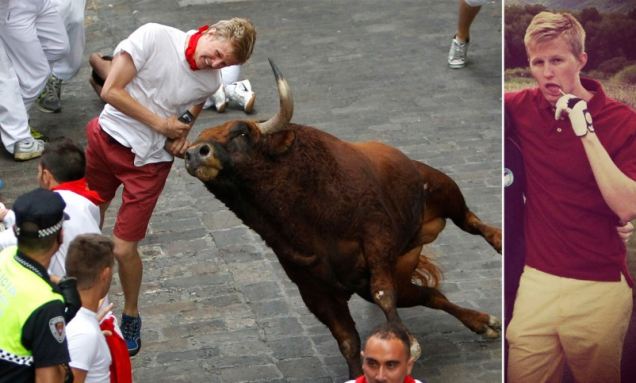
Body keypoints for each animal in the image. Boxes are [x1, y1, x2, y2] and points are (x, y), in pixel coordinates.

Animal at [184, 60, 502, 378]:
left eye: (241, 133)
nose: (195, 153)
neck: (308, 222)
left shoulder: (376, 241)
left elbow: (383, 292)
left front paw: (405, 341)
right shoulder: (314, 290)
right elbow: (347, 339)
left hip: (444, 190)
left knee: (471, 223)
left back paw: (498, 245)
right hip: (399, 274)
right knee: (431, 295)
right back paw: (483, 322)